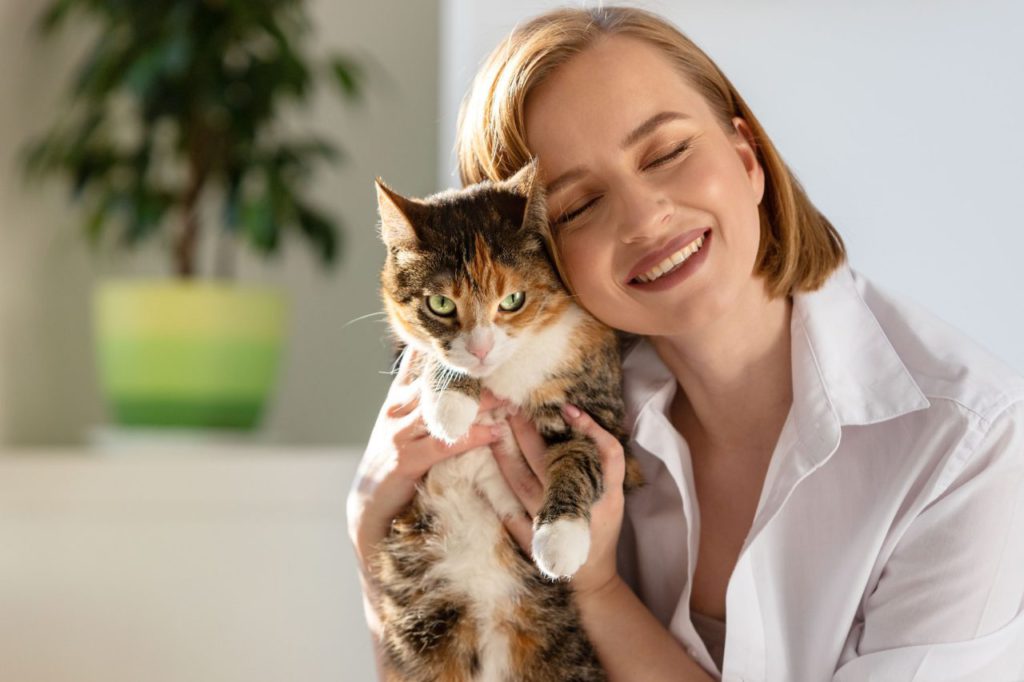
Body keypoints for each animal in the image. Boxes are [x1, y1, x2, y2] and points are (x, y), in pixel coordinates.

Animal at [368, 159, 638, 679]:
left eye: (512, 300)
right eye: (441, 305)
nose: (480, 348)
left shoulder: (599, 409)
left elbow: (582, 456)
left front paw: (559, 540)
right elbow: (427, 352)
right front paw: (451, 404)